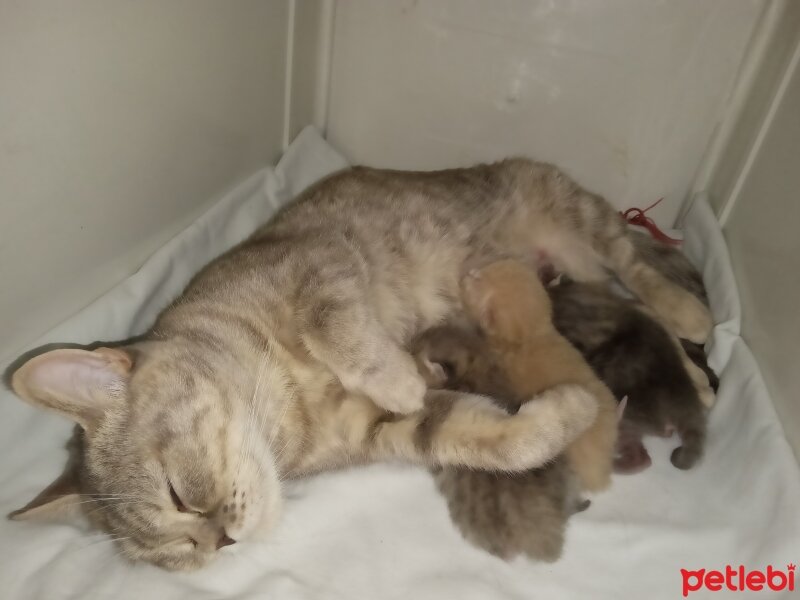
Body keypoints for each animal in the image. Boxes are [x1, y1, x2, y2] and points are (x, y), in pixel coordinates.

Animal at [7, 157, 712, 568]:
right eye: (176, 555)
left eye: (181, 494)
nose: (221, 542)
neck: (288, 414)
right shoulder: (383, 434)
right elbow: (495, 442)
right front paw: (568, 409)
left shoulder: (316, 265)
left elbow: (340, 328)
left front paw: (397, 377)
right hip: (580, 269)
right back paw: (697, 377)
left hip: (579, 225)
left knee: (636, 268)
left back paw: (692, 322)